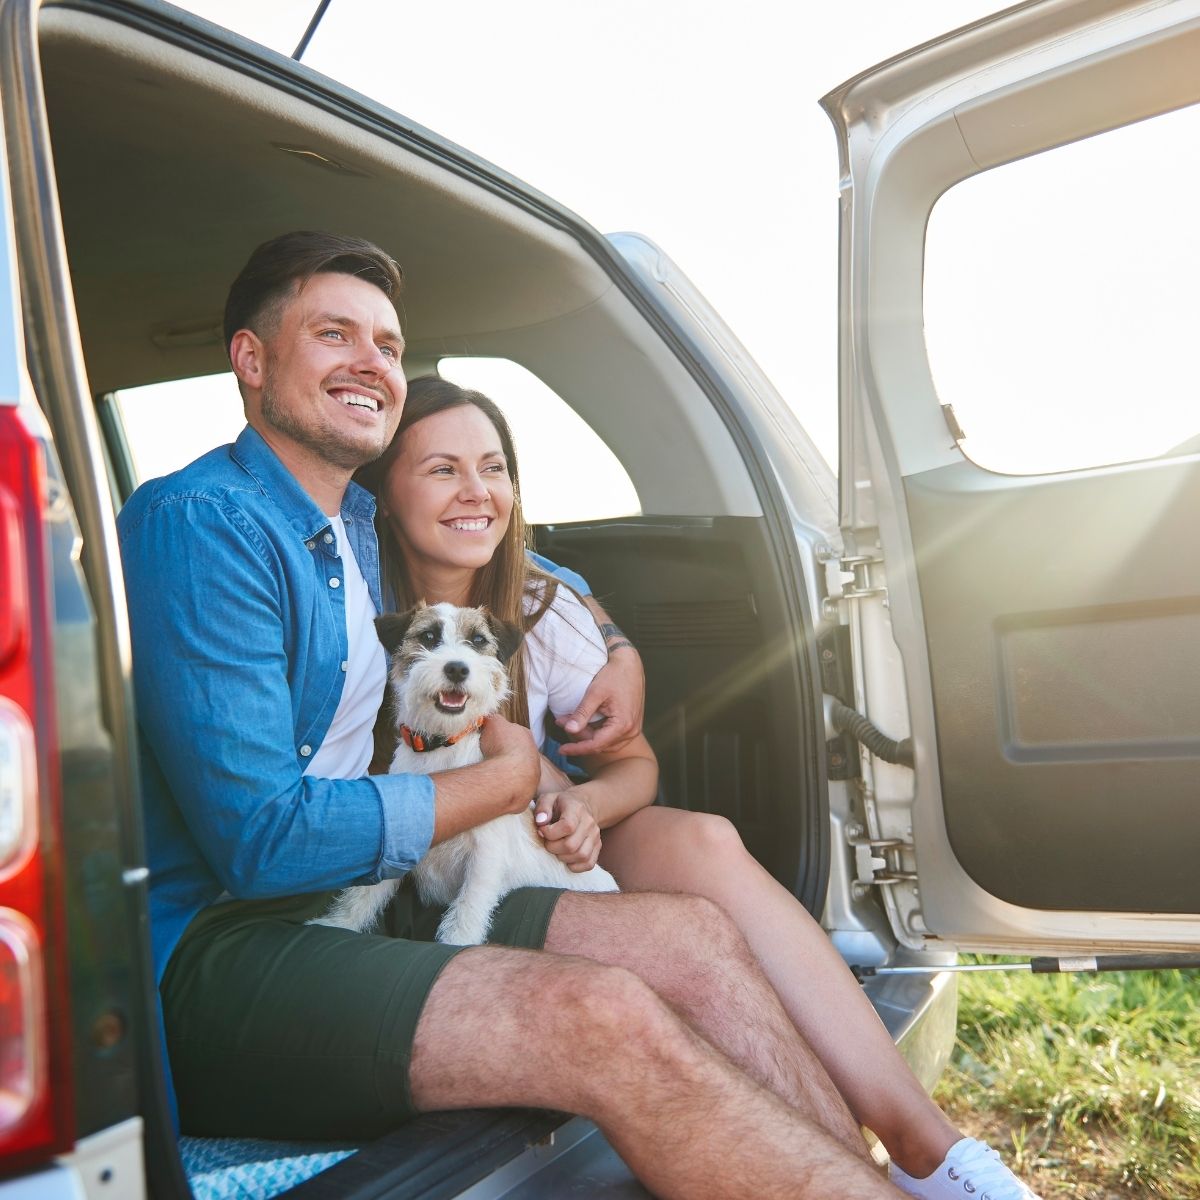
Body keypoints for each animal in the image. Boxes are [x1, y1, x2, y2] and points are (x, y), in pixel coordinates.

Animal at [309, 600, 619, 945]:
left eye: (479, 640)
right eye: (429, 637)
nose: (457, 668)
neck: (442, 746)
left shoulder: (485, 857)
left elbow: (469, 908)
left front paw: (457, 942)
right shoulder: (403, 843)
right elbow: (363, 895)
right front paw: (338, 923)